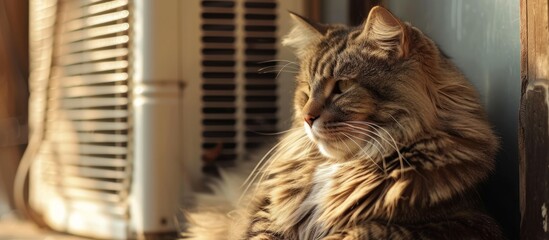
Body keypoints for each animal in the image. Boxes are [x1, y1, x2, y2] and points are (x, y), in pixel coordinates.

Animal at [183, 6, 500, 240]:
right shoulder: (266, 213)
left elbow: (371, 230)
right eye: (306, 91)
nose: (308, 118)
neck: (343, 166)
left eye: (342, 87)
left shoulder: (467, 223)